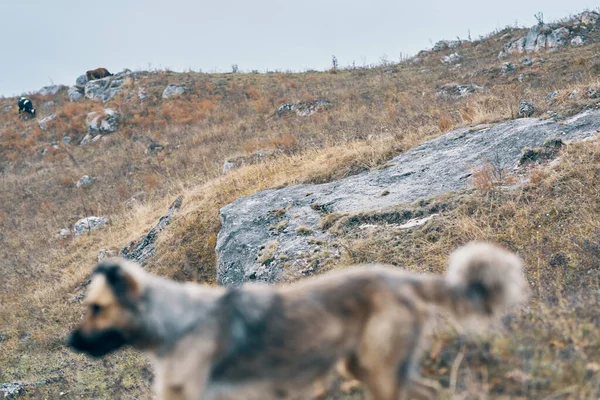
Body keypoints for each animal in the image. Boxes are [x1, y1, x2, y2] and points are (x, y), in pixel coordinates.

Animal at [70, 242, 528, 398]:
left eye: (96, 308)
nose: (70, 341)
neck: (176, 323)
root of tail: (398, 276)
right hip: (367, 367)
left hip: (379, 371)